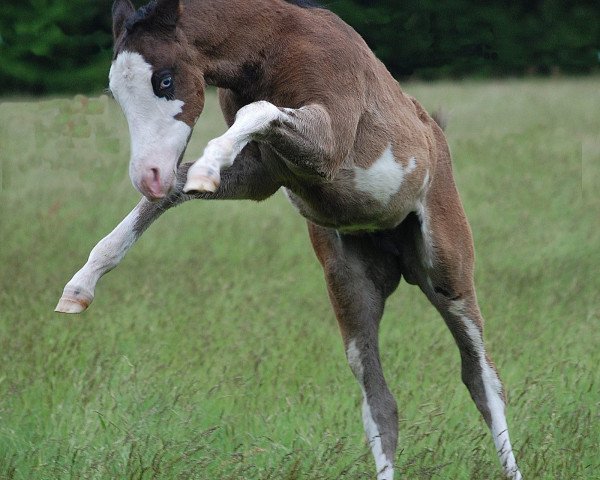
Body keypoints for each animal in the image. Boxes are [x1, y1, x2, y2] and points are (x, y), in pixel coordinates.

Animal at [57, 1, 524, 478]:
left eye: (164, 79)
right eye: (116, 92)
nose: (147, 175)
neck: (277, 44)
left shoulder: (328, 144)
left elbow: (256, 112)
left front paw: (206, 166)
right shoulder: (264, 173)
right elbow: (176, 190)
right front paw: (80, 286)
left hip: (446, 271)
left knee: (482, 380)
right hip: (352, 287)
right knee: (379, 402)